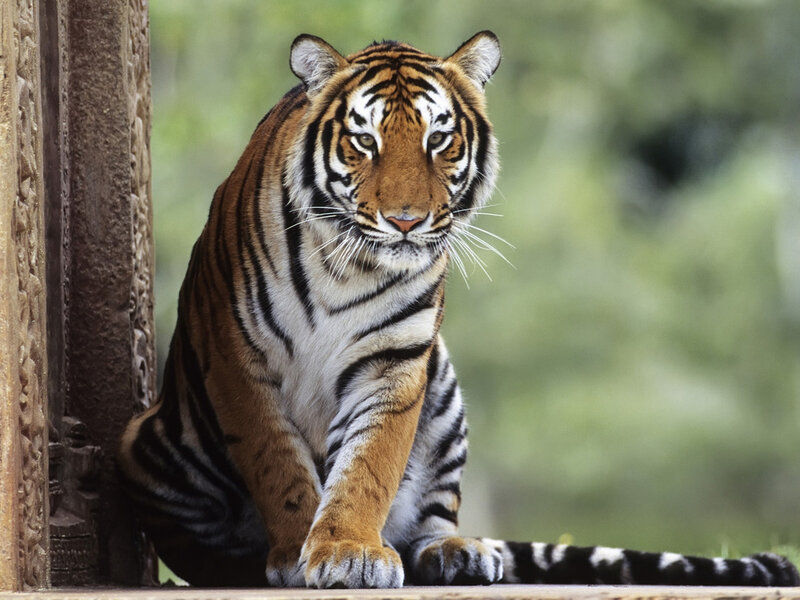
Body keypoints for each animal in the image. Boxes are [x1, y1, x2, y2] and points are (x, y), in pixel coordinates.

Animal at [117, 32, 799, 589]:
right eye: (364, 140)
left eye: (438, 139)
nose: (406, 220)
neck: (346, 265)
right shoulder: (239, 360)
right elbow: (278, 466)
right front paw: (297, 552)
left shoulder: (396, 362)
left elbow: (368, 465)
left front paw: (346, 550)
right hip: (146, 444)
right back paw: (240, 565)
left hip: (442, 389)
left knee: (431, 517)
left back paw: (456, 553)